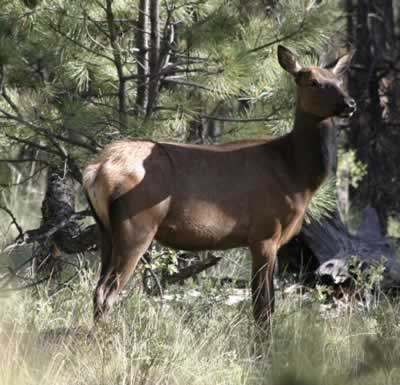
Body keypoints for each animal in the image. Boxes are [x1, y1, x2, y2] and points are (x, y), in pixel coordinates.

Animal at [83, 45, 356, 330]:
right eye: (313, 82)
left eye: (338, 81)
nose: (350, 104)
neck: (296, 174)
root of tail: (95, 170)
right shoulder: (264, 232)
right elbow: (262, 308)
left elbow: (268, 304)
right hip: (136, 226)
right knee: (107, 292)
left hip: (106, 231)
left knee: (97, 289)